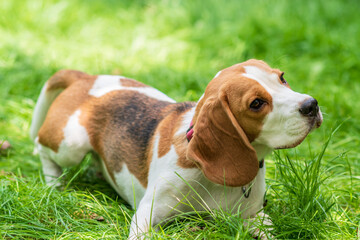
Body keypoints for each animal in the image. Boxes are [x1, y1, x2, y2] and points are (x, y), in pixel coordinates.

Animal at [30, 59, 324, 238]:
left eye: (282, 78)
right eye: (256, 103)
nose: (312, 104)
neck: (207, 175)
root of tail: (87, 78)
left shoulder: (256, 217)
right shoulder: (144, 219)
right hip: (71, 144)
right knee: (40, 147)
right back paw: (53, 182)